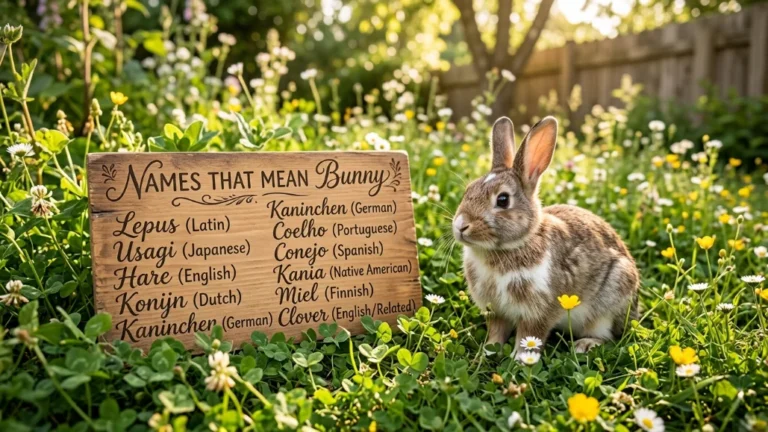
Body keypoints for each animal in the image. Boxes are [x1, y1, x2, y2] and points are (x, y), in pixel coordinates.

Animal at [452, 116, 639, 354]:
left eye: (502, 200)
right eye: (468, 190)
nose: (460, 225)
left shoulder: (539, 310)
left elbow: (530, 335)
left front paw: (519, 358)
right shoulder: (497, 311)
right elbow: (496, 332)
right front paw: (489, 350)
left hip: (609, 302)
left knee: (609, 336)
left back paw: (585, 344)